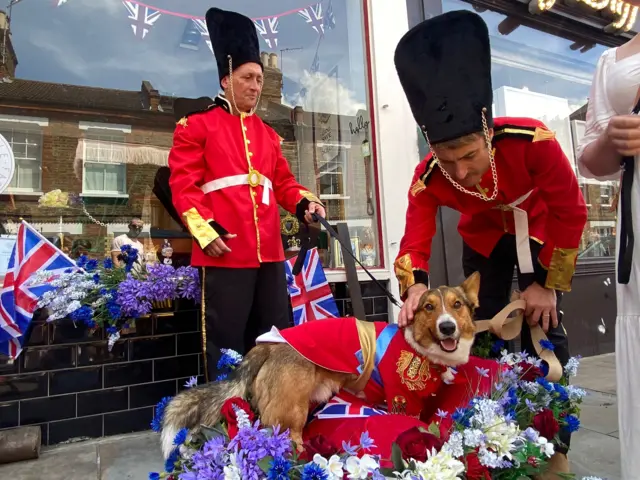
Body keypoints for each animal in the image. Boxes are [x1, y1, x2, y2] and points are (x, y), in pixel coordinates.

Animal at [161, 270, 484, 458]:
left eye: (457, 305)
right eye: (428, 307)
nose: (447, 327)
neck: (419, 347)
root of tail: (268, 344)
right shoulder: (401, 402)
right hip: (292, 412)